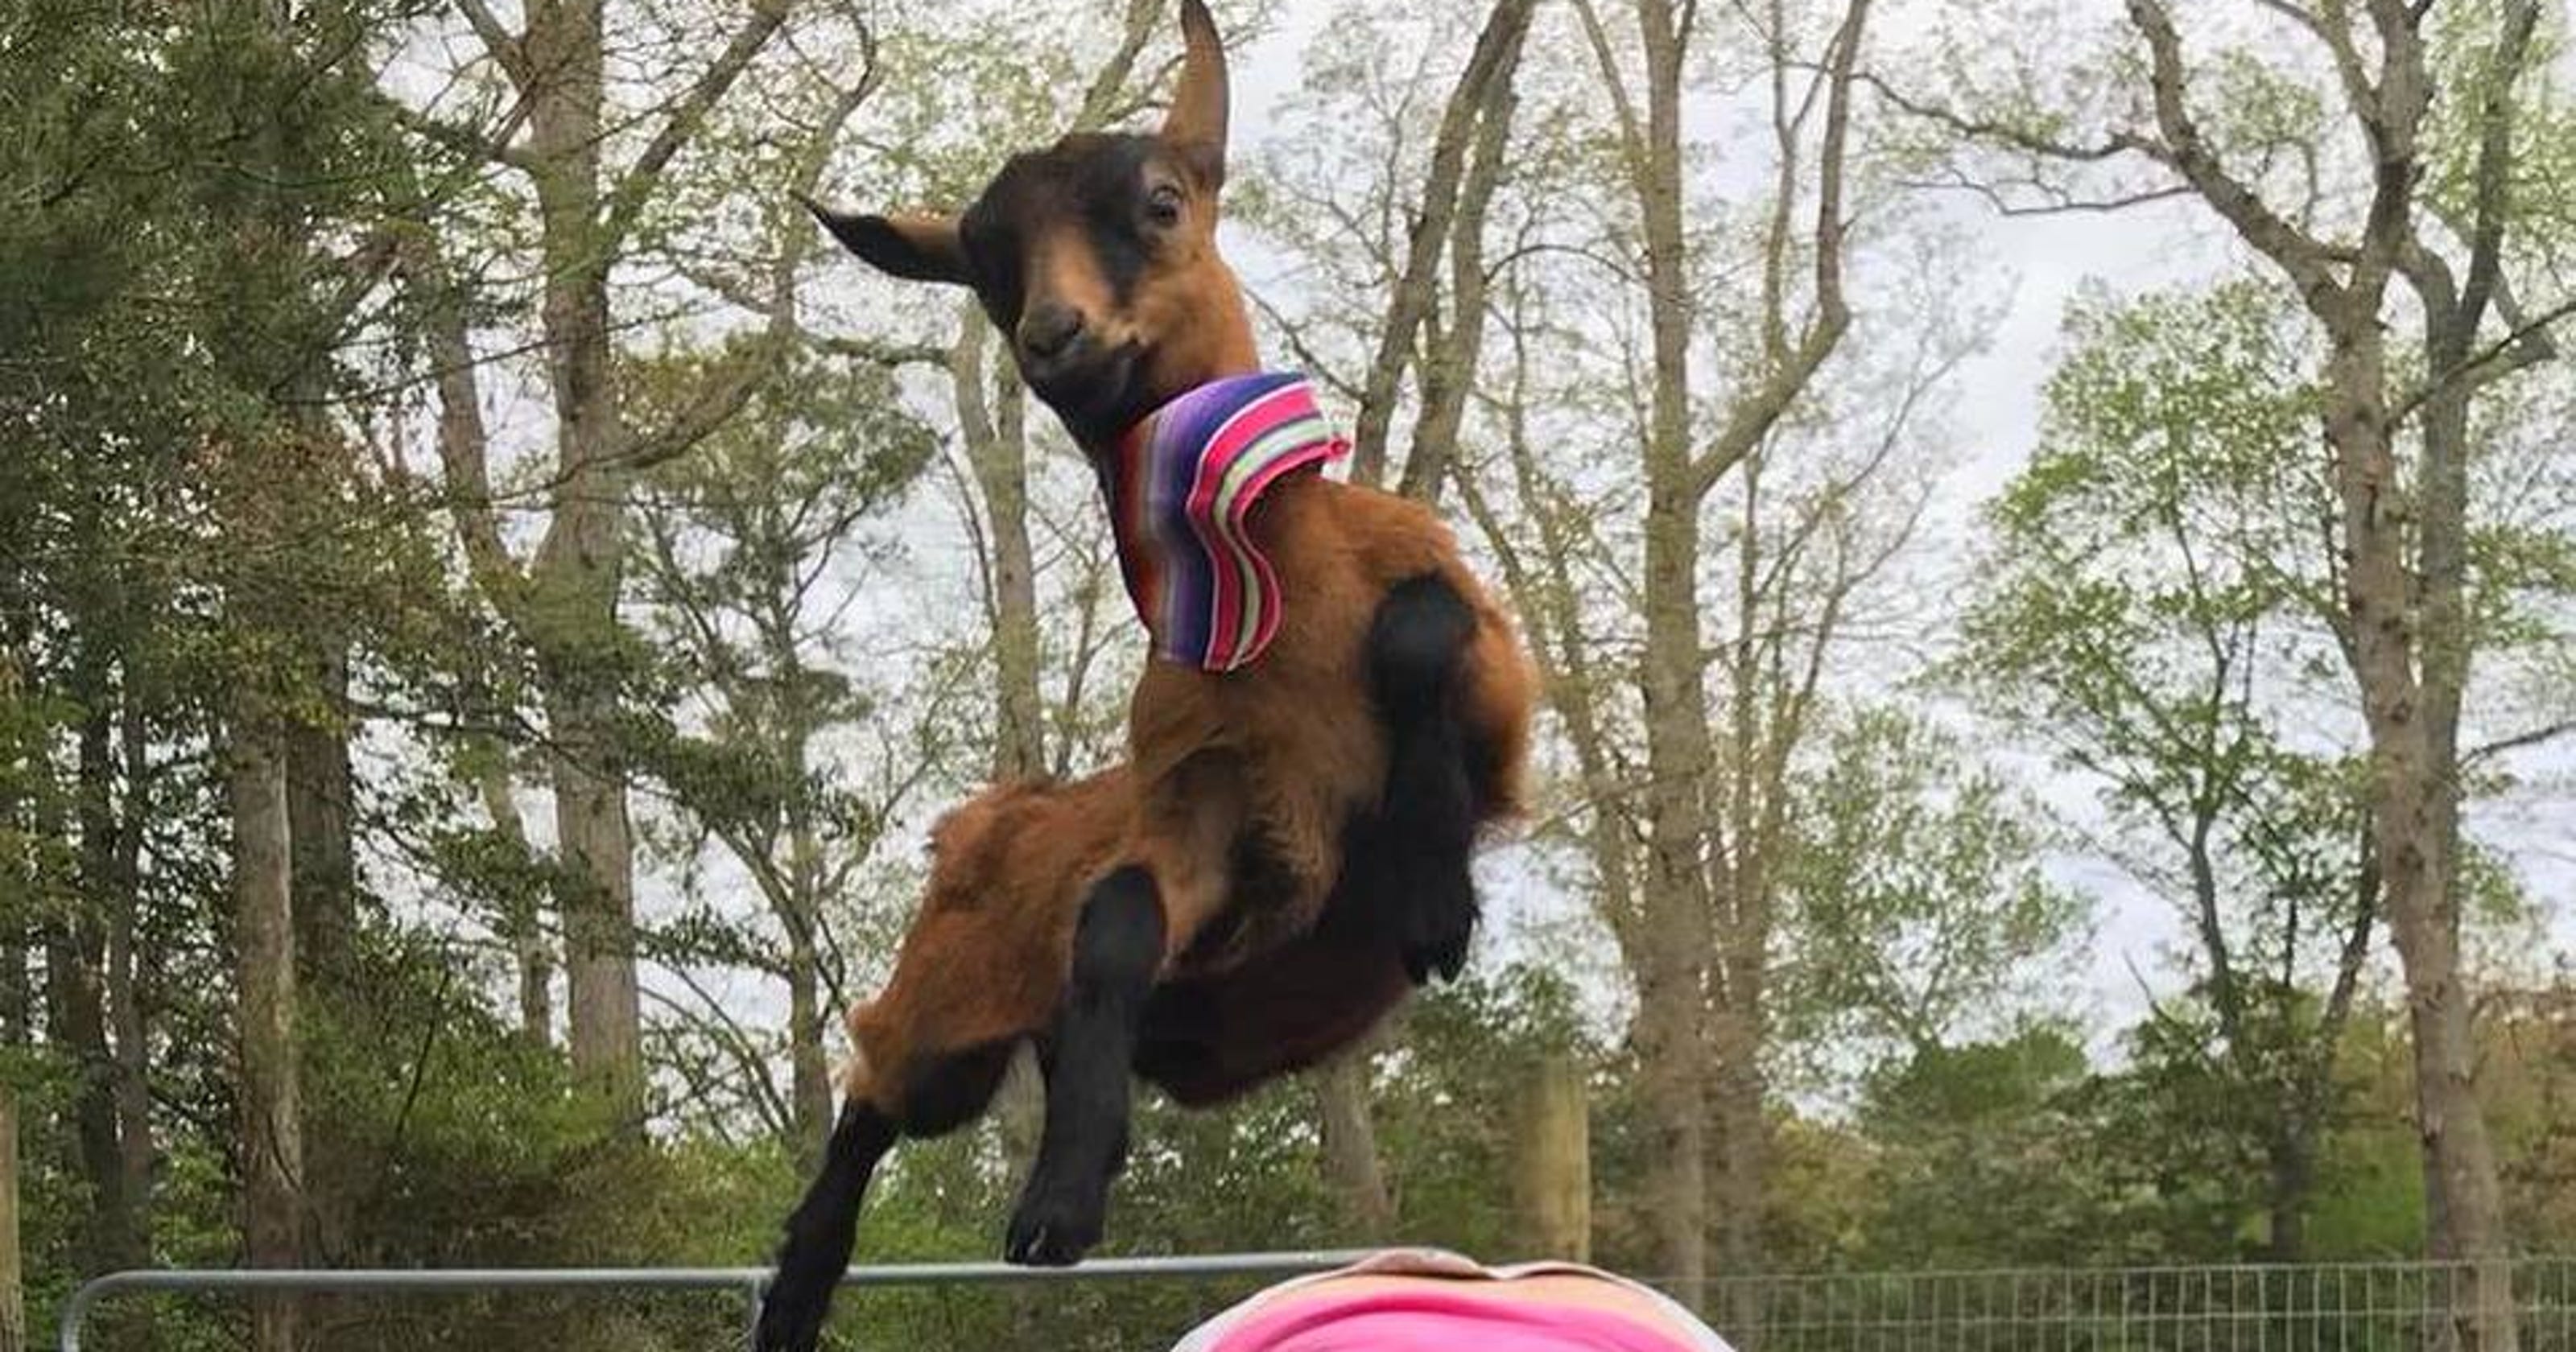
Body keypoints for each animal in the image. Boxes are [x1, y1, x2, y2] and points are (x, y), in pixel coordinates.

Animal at [756, 3, 1537, 1347]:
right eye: (987, 264)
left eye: (1162, 202)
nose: (1054, 337)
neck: (1279, 606)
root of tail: (991, 811)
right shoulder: (1214, 812)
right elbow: (1119, 918)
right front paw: (1054, 1209)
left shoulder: (1495, 691)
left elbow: (1421, 628)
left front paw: (1438, 906)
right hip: (943, 1012)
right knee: (864, 1111)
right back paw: (802, 1290)